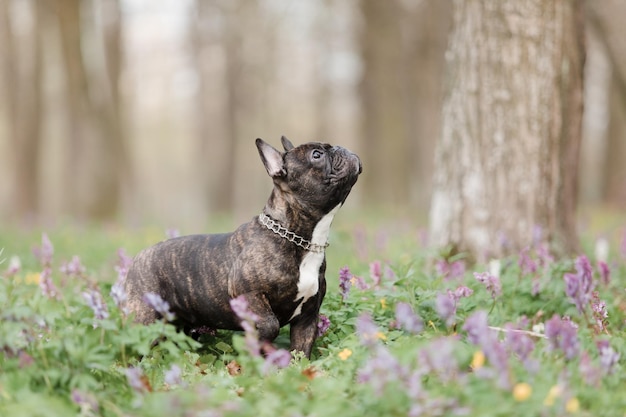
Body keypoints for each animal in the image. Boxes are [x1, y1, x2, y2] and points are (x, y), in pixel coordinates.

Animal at [124, 136, 358, 358]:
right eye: (316, 155)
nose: (341, 148)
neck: (300, 239)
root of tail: (138, 258)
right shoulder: (247, 294)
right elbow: (270, 324)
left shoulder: (307, 318)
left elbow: (301, 352)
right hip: (144, 319)